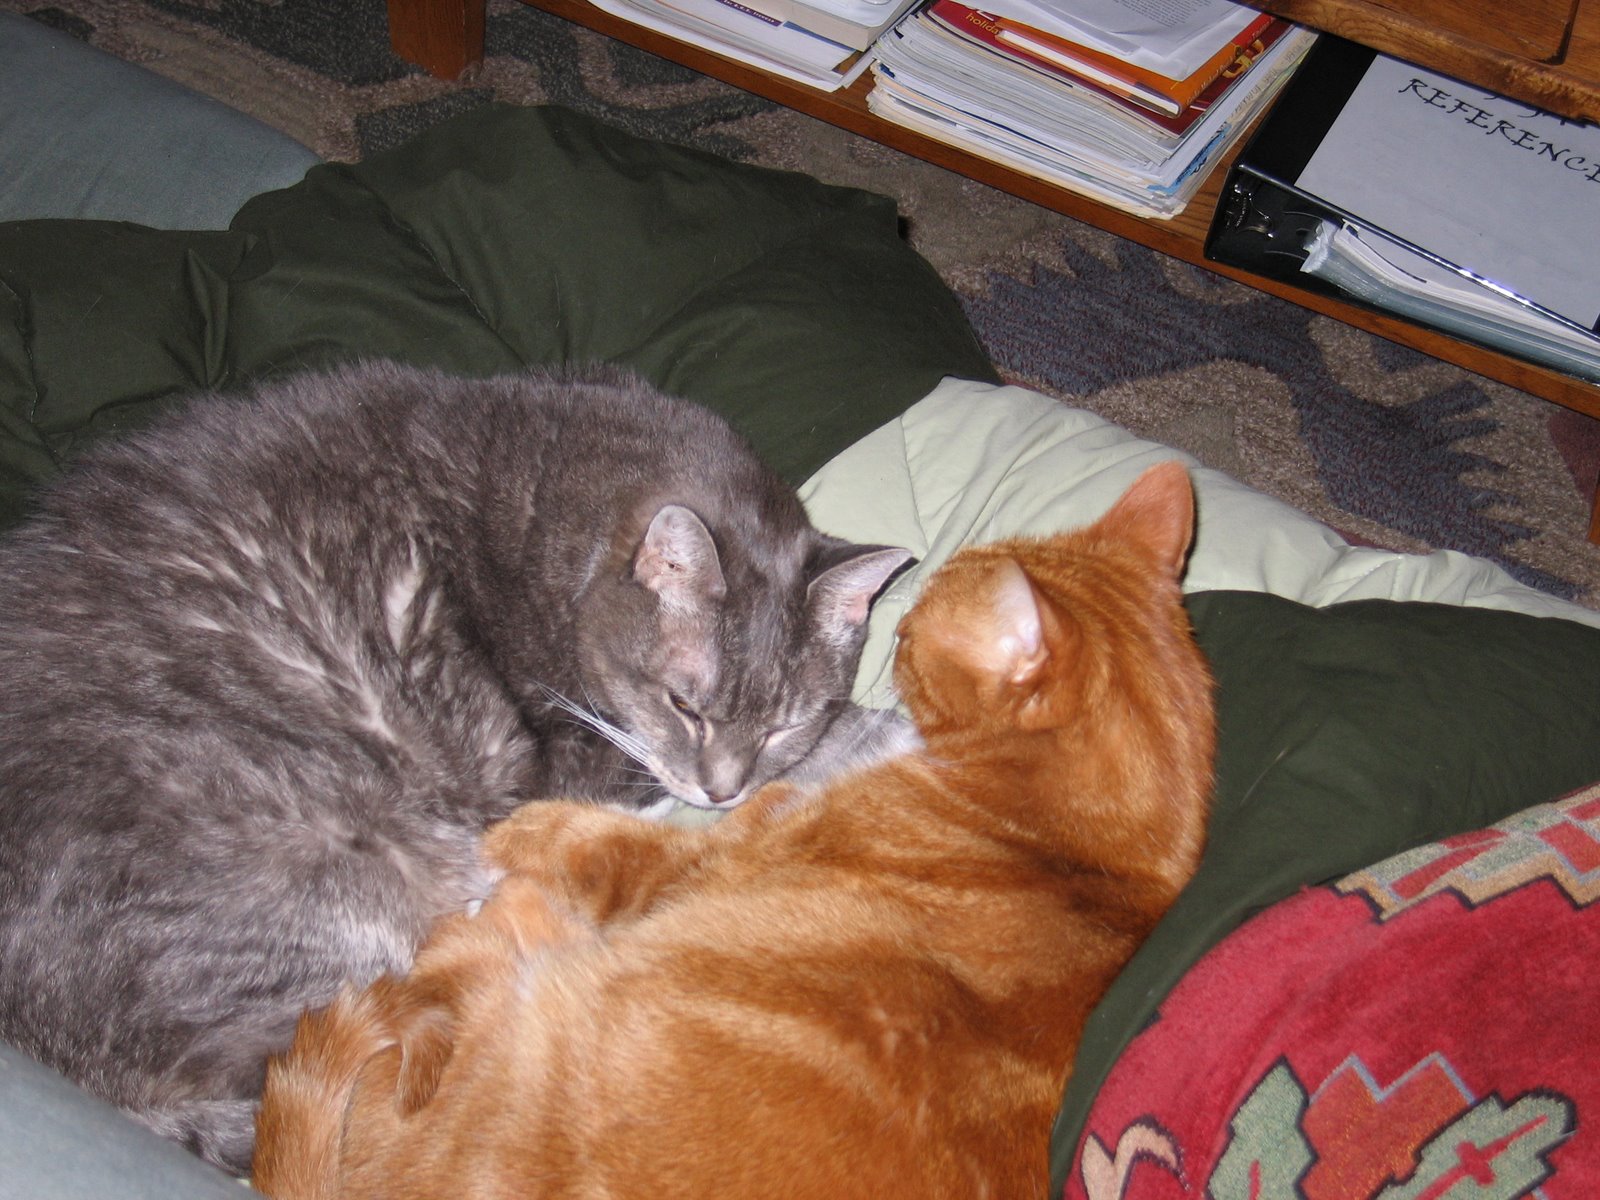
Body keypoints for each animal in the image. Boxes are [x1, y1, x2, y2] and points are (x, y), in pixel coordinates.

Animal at [250, 460, 1216, 1200]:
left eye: (912, 633)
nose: (897, 629)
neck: (1078, 850)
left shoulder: (697, 862)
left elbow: (594, 838)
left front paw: (517, 827)